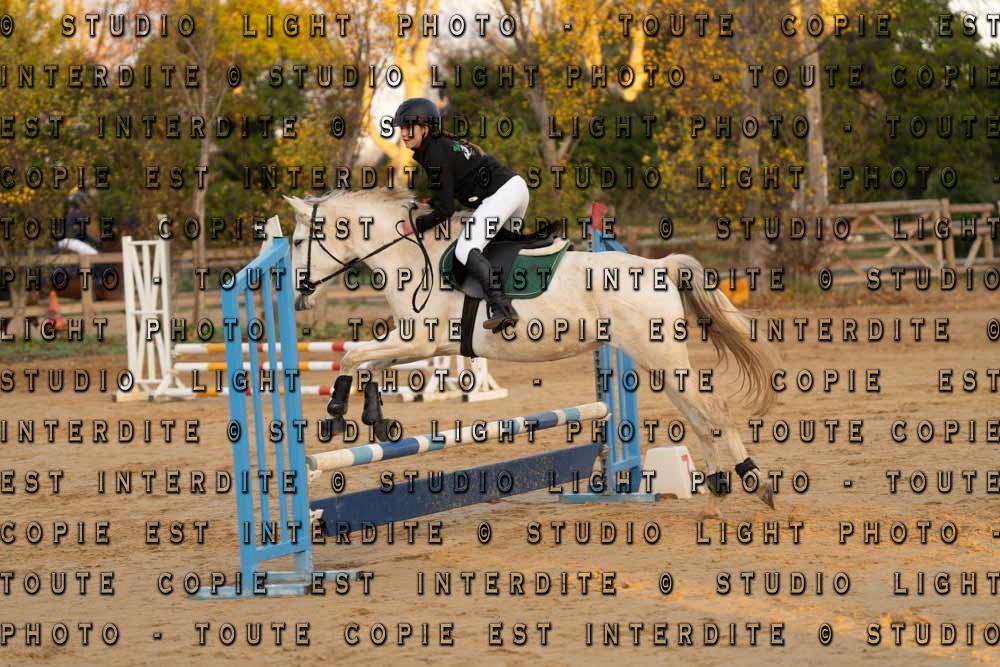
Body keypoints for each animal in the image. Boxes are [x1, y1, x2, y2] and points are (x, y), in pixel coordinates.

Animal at [276, 188, 781, 511]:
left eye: (299, 241)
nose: (299, 295)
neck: (410, 256)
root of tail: (660, 266)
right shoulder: (418, 340)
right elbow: (371, 361)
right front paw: (376, 420)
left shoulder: (419, 336)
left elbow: (351, 356)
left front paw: (336, 414)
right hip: (657, 359)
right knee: (699, 415)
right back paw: (724, 485)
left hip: (662, 358)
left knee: (712, 411)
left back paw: (750, 484)